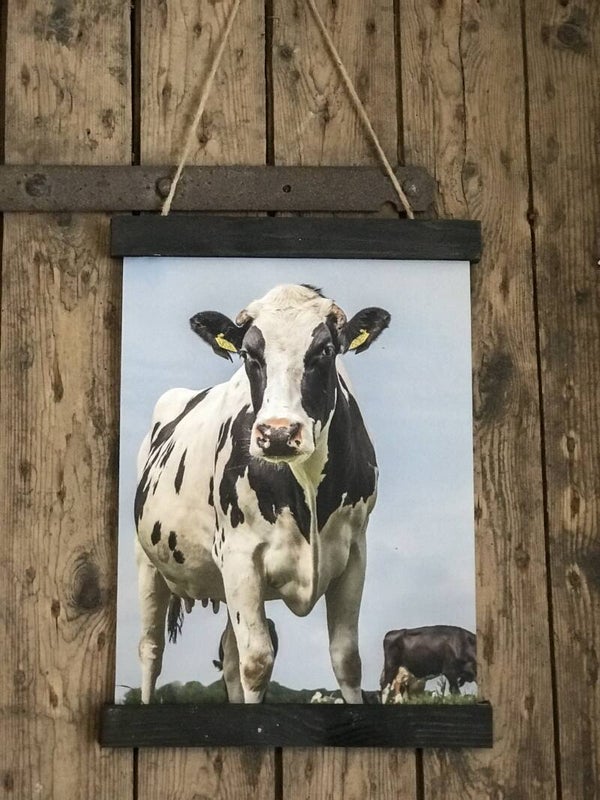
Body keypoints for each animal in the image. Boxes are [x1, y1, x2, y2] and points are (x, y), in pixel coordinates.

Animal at [134, 284, 390, 704]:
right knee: (151, 651)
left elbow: (347, 660)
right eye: (248, 354)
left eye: (325, 350)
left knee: (229, 657)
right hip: (147, 565)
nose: (279, 433)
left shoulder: (355, 553)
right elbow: (257, 663)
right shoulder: (240, 557)